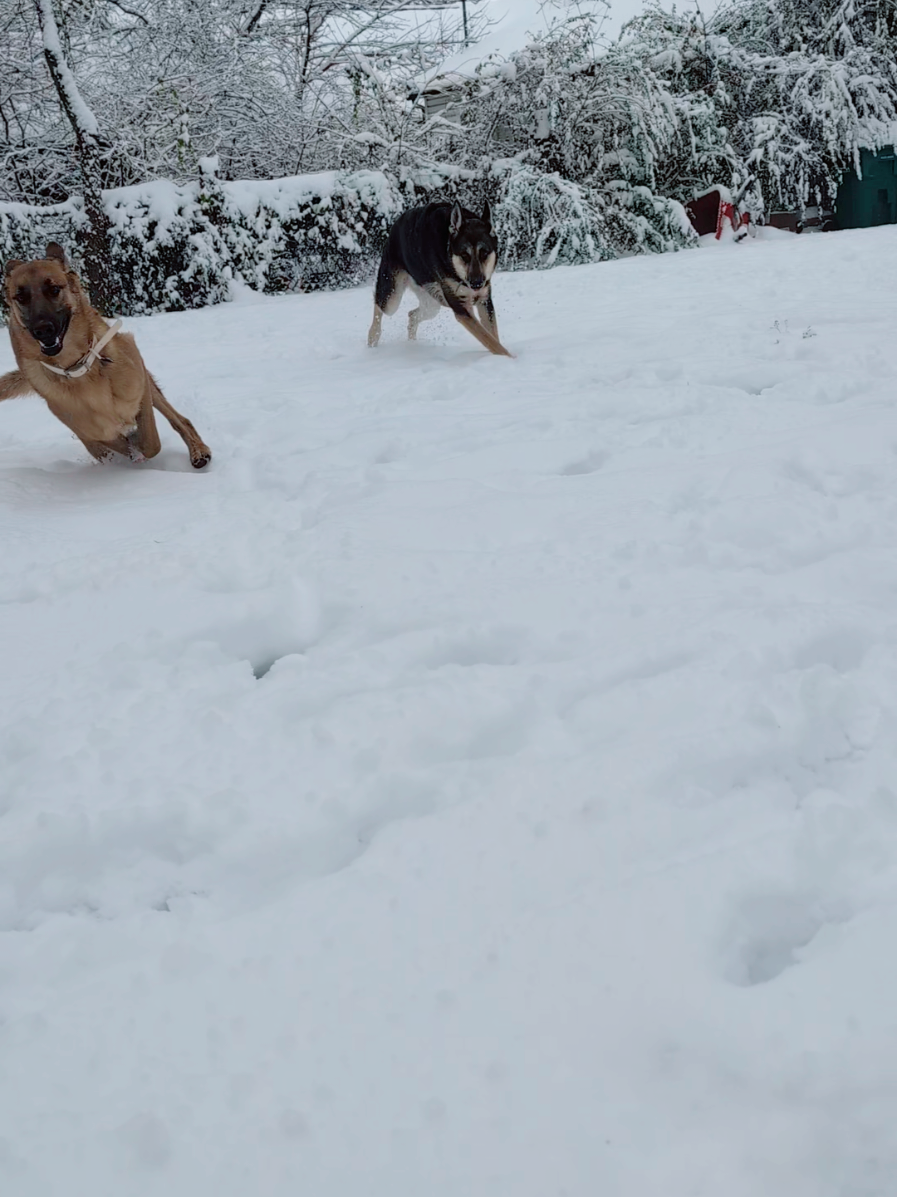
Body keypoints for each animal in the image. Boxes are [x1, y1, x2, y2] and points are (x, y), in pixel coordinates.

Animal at [0, 242, 210, 466]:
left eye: (54, 289)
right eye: (21, 297)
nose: (42, 330)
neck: (77, 366)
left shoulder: (139, 387)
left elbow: (150, 442)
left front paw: (138, 444)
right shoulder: (91, 432)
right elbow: (115, 444)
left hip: (149, 385)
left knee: (180, 420)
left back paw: (198, 450)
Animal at [366, 201, 514, 354]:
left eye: (484, 253)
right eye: (464, 255)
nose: (477, 283)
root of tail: (395, 225)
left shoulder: (484, 300)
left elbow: (493, 337)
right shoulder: (461, 308)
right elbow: (490, 341)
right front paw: (509, 357)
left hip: (432, 303)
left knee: (412, 315)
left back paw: (412, 343)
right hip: (392, 297)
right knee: (380, 307)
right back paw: (373, 337)